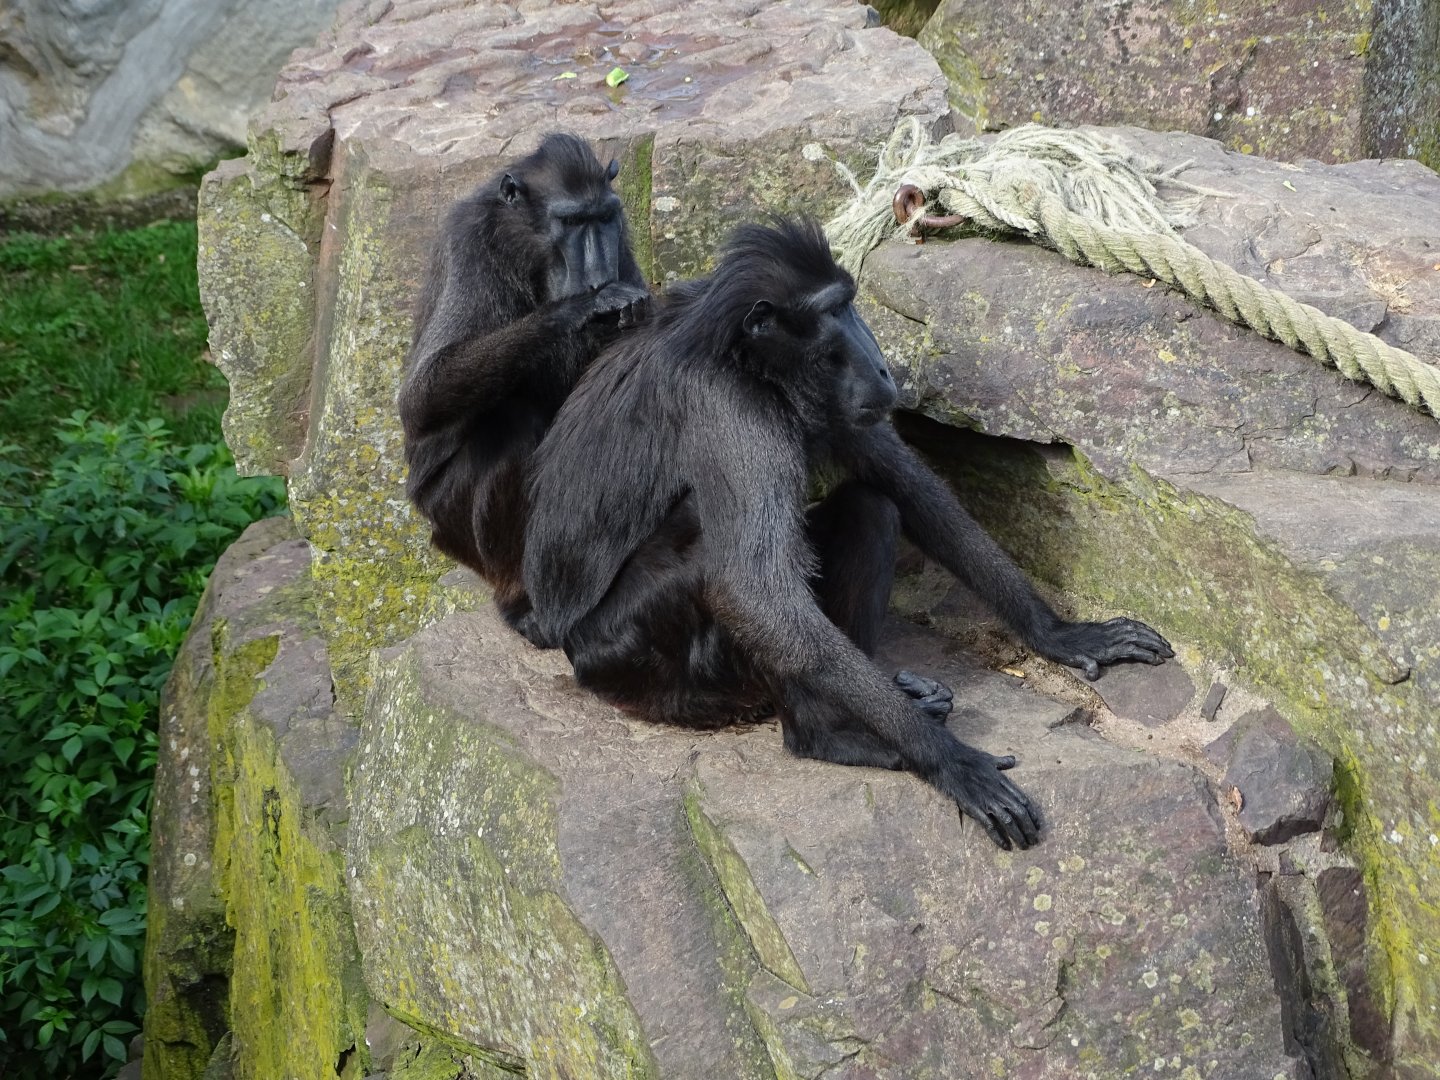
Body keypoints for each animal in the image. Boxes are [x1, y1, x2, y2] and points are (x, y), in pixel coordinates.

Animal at [397, 132, 649, 646]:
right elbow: (419, 399)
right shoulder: (470, 244)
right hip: (447, 522)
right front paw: (581, 308)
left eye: (603, 218)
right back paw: (520, 600)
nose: (597, 274)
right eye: (570, 222)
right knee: (512, 426)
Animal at [522, 218, 1173, 849]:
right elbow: (754, 595)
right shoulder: (730, 405)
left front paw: (1061, 633)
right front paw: (947, 761)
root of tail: (562, 644)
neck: (738, 351)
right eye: (833, 312)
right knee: (722, 565)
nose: (881, 363)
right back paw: (825, 736)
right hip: (635, 664)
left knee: (870, 509)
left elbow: (905, 487)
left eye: (850, 303)